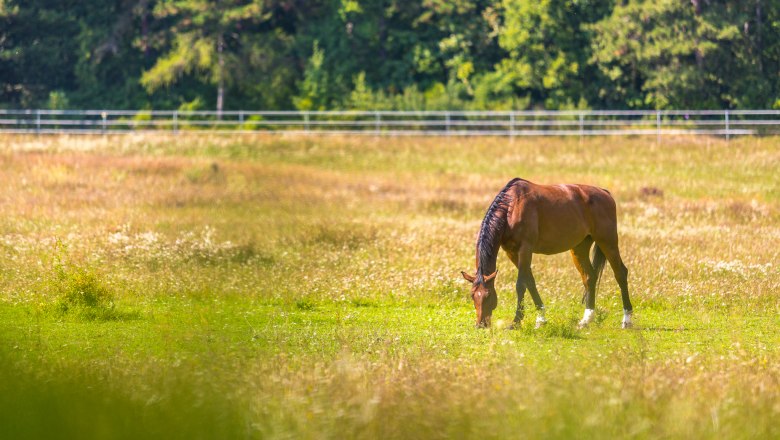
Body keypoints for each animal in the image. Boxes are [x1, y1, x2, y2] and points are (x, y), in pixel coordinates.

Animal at [460, 177, 632, 328]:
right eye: (472, 295)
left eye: (488, 295)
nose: (481, 325)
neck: (511, 207)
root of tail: (605, 193)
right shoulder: (512, 252)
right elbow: (530, 282)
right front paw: (541, 319)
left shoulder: (525, 249)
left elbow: (520, 284)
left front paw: (516, 322)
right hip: (579, 248)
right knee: (590, 277)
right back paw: (586, 320)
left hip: (608, 241)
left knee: (620, 273)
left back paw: (627, 320)